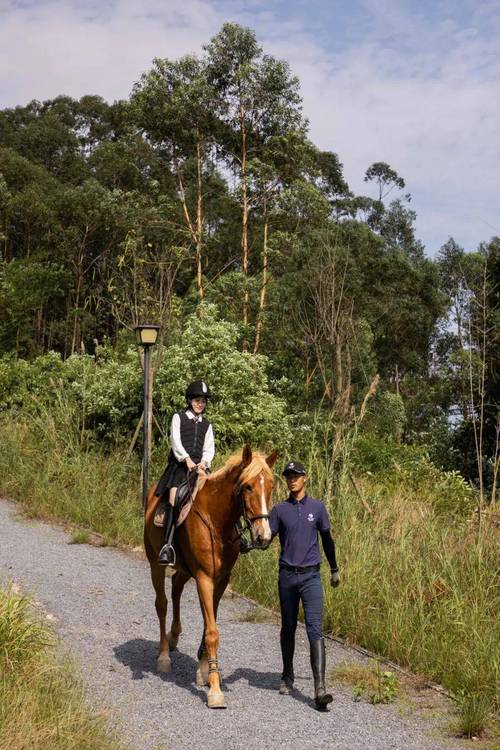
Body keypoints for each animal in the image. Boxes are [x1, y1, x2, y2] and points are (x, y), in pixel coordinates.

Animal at [144, 446, 278, 712]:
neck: (216, 520)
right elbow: (212, 632)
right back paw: (163, 655)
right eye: (248, 487)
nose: (264, 537)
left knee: (175, 589)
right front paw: (215, 690)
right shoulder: (204, 578)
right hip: (155, 564)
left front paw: (203, 671)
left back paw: (174, 637)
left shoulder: (221, 580)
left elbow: (209, 625)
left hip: (185, 570)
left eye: (270, 486)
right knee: (162, 604)